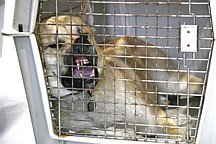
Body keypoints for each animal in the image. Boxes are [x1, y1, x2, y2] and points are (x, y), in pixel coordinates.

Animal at [36, 0, 203, 140]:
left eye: (84, 34)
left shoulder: (155, 119)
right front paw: (123, 132)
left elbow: (175, 133)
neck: (85, 96)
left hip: (173, 83)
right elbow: (93, 130)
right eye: (54, 45)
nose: (80, 41)